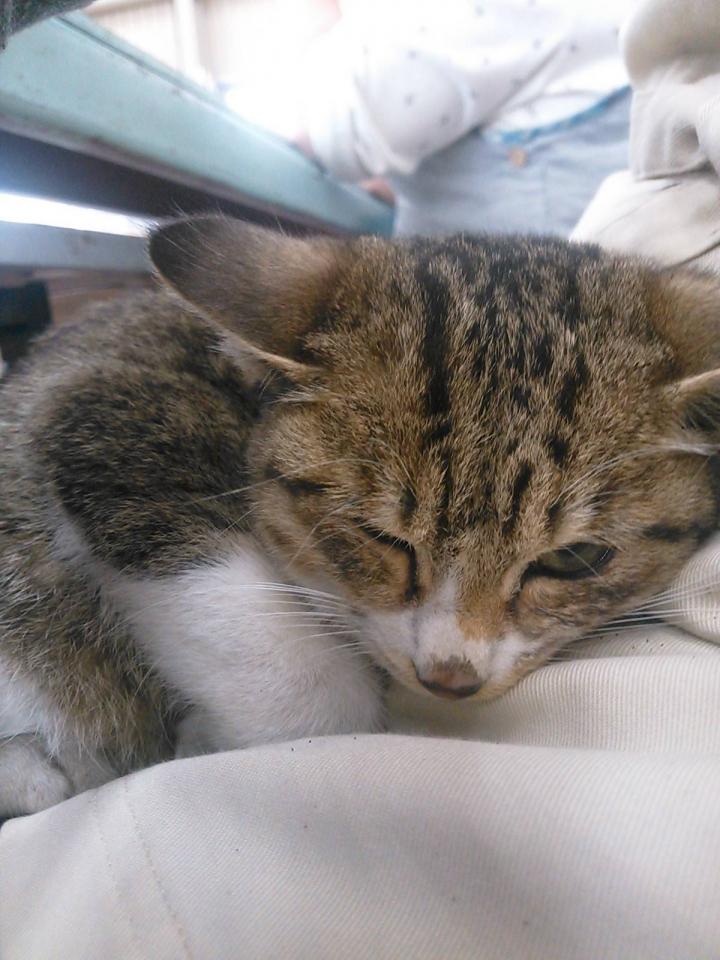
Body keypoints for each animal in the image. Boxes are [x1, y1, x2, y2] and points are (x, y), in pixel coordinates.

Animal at [1, 216, 719, 817]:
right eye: (380, 537)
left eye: (573, 559)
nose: (449, 677)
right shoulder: (106, 416)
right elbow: (310, 693)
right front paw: (203, 736)